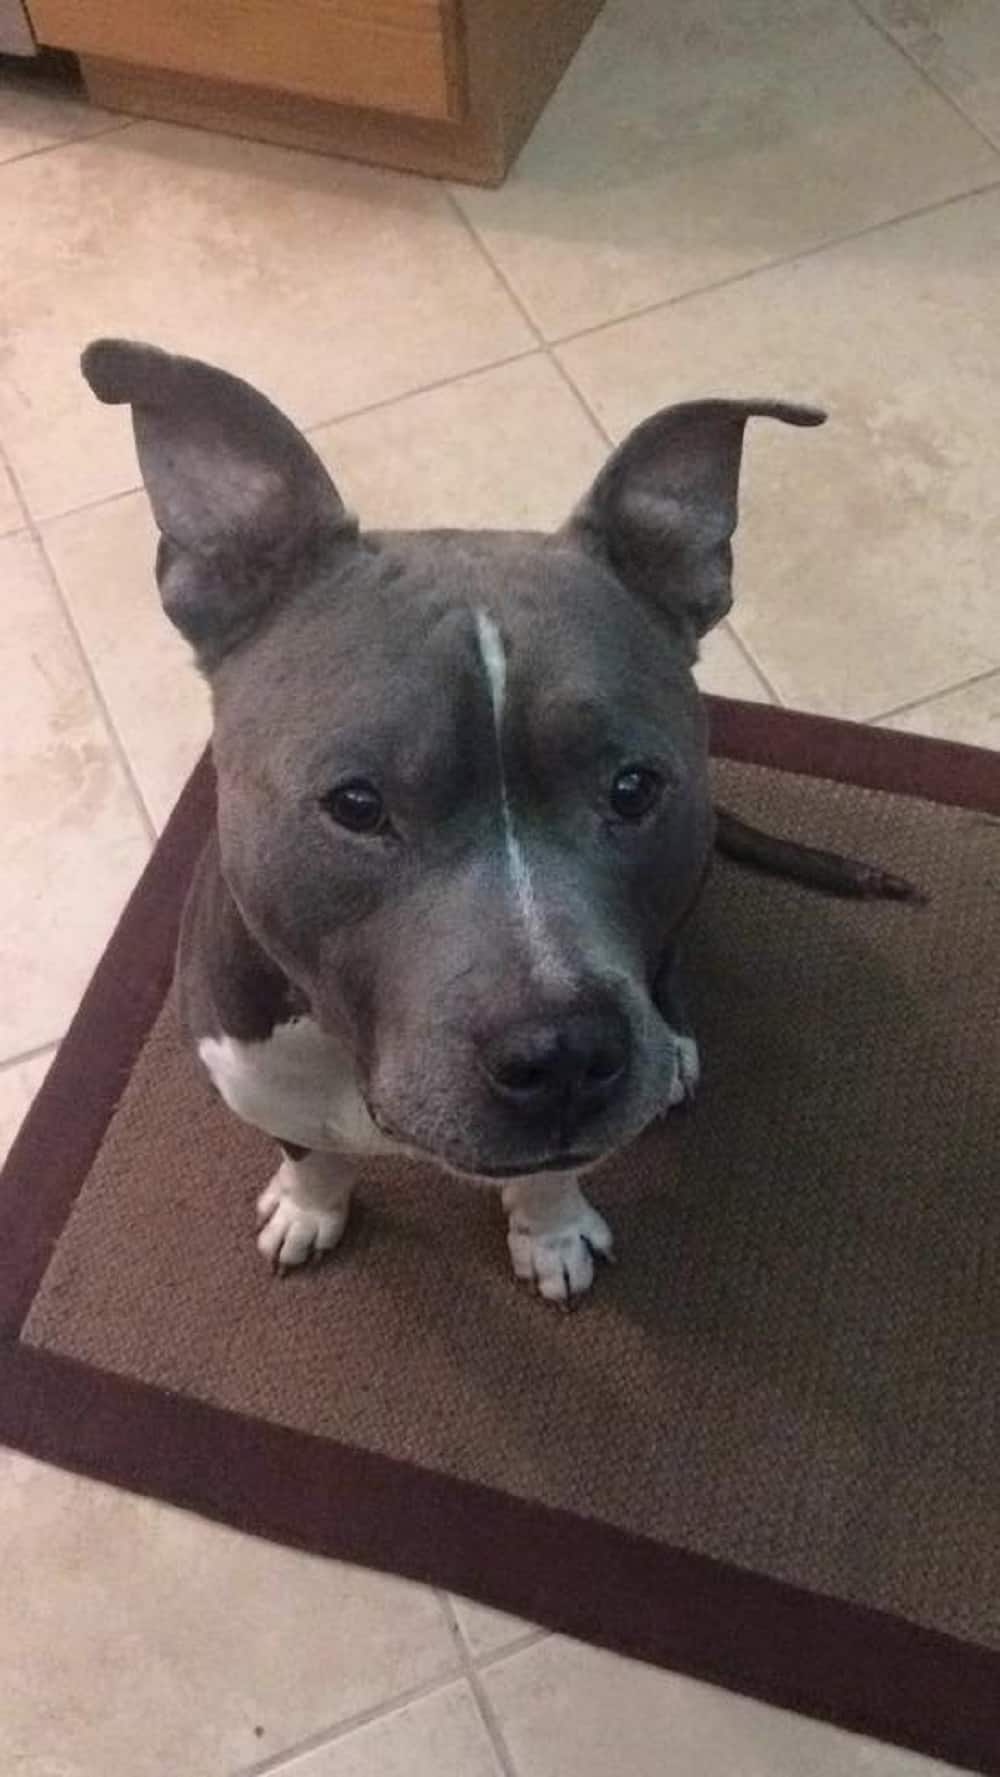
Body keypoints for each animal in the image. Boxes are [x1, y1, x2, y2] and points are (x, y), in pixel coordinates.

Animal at [82, 335, 888, 1307]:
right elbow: (308, 1151)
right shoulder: (256, 1078)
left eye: (633, 788)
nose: (564, 1052)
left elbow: (552, 1174)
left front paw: (552, 1232)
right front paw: (310, 1206)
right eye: (356, 804)